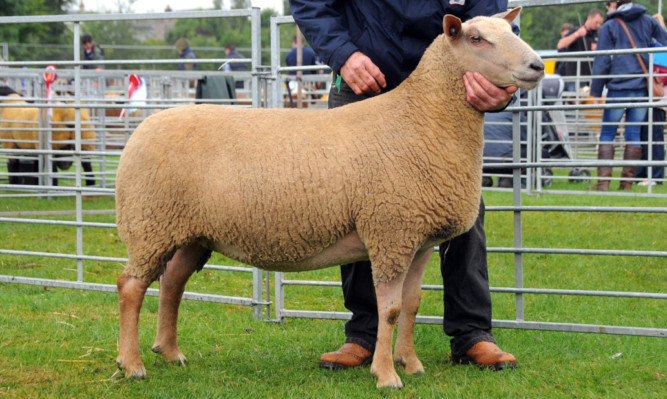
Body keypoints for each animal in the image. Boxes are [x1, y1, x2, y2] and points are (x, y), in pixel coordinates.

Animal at [113, 8, 544, 390]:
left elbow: (412, 304)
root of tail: (140, 129)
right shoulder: (389, 231)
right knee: (131, 287)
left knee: (172, 284)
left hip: (189, 232)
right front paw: (387, 375)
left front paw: (411, 363)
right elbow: (388, 309)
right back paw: (132, 365)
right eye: (476, 38)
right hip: (150, 224)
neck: (419, 118)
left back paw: (170, 353)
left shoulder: (418, 239)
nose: (538, 66)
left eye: (514, 30)